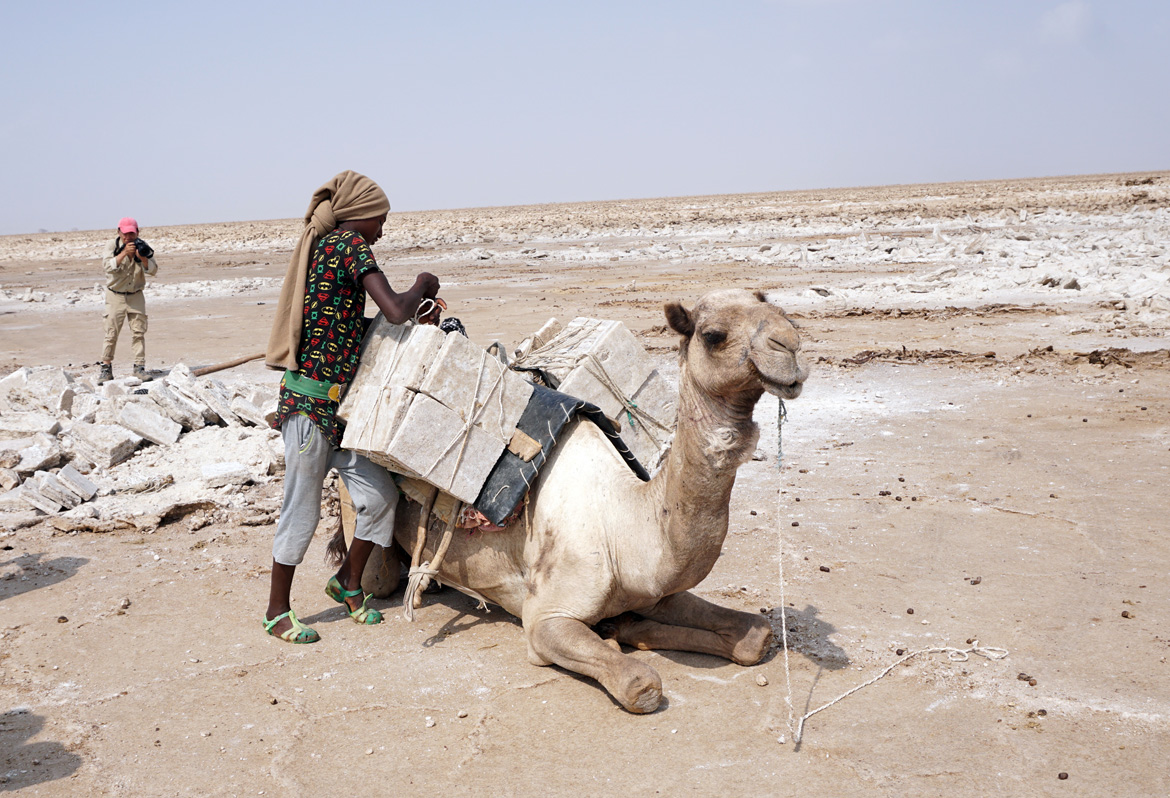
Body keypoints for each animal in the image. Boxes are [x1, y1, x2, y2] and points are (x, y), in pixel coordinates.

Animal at [342, 288, 809, 712]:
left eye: (776, 308)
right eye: (713, 335)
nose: (790, 344)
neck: (621, 521)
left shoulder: (657, 590)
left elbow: (755, 636)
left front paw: (626, 628)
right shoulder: (544, 619)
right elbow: (640, 684)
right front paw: (622, 640)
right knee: (378, 574)